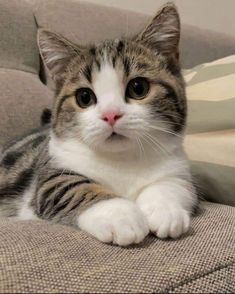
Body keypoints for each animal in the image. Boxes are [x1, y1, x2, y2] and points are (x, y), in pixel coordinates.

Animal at [0, 2, 196, 246]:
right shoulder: (50, 171)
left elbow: (175, 183)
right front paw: (121, 216)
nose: (110, 114)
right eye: (84, 97)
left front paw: (165, 211)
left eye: (138, 88)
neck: (122, 160)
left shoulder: (176, 162)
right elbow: (71, 187)